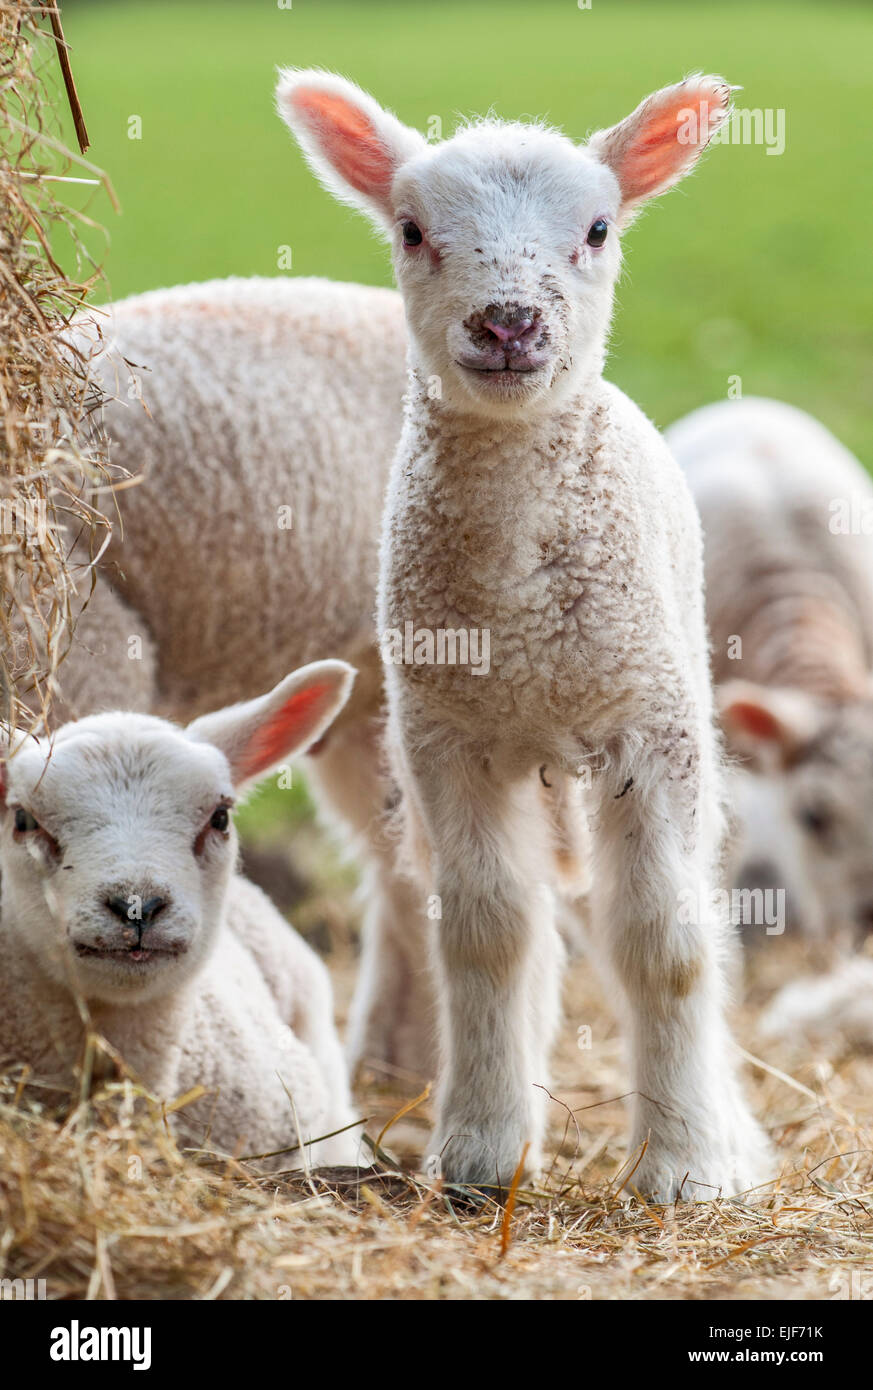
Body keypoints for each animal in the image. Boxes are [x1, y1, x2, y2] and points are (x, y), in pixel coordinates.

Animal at [279, 70, 772, 1195]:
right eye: (411, 230)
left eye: (596, 229)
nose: (507, 322)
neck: (522, 617)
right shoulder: (446, 738)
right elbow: (488, 937)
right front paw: (480, 1149)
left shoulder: (651, 728)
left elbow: (664, 941)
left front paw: (683, 1166)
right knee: (541, 921)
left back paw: (727, 1131)